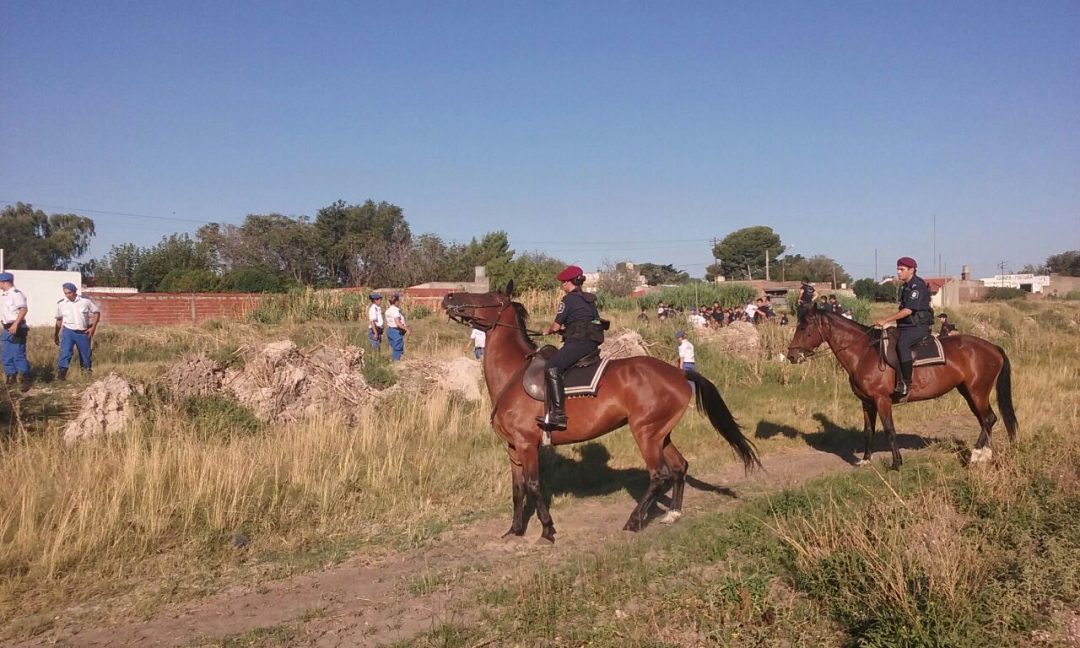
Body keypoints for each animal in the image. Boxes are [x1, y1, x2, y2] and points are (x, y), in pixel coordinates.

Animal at [786, 306, 1010, 468]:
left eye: (804, 328)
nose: (791, 356)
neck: (864, 353)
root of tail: (993, 347)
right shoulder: (867, 403)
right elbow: (868, 431)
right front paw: (865, 460)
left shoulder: (882, 400)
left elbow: (889, 430)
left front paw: (896, 463)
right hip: (968, 391)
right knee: (987, 419)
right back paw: (985, 455)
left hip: (977, 391)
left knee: (988, 419)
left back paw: (975, 456)